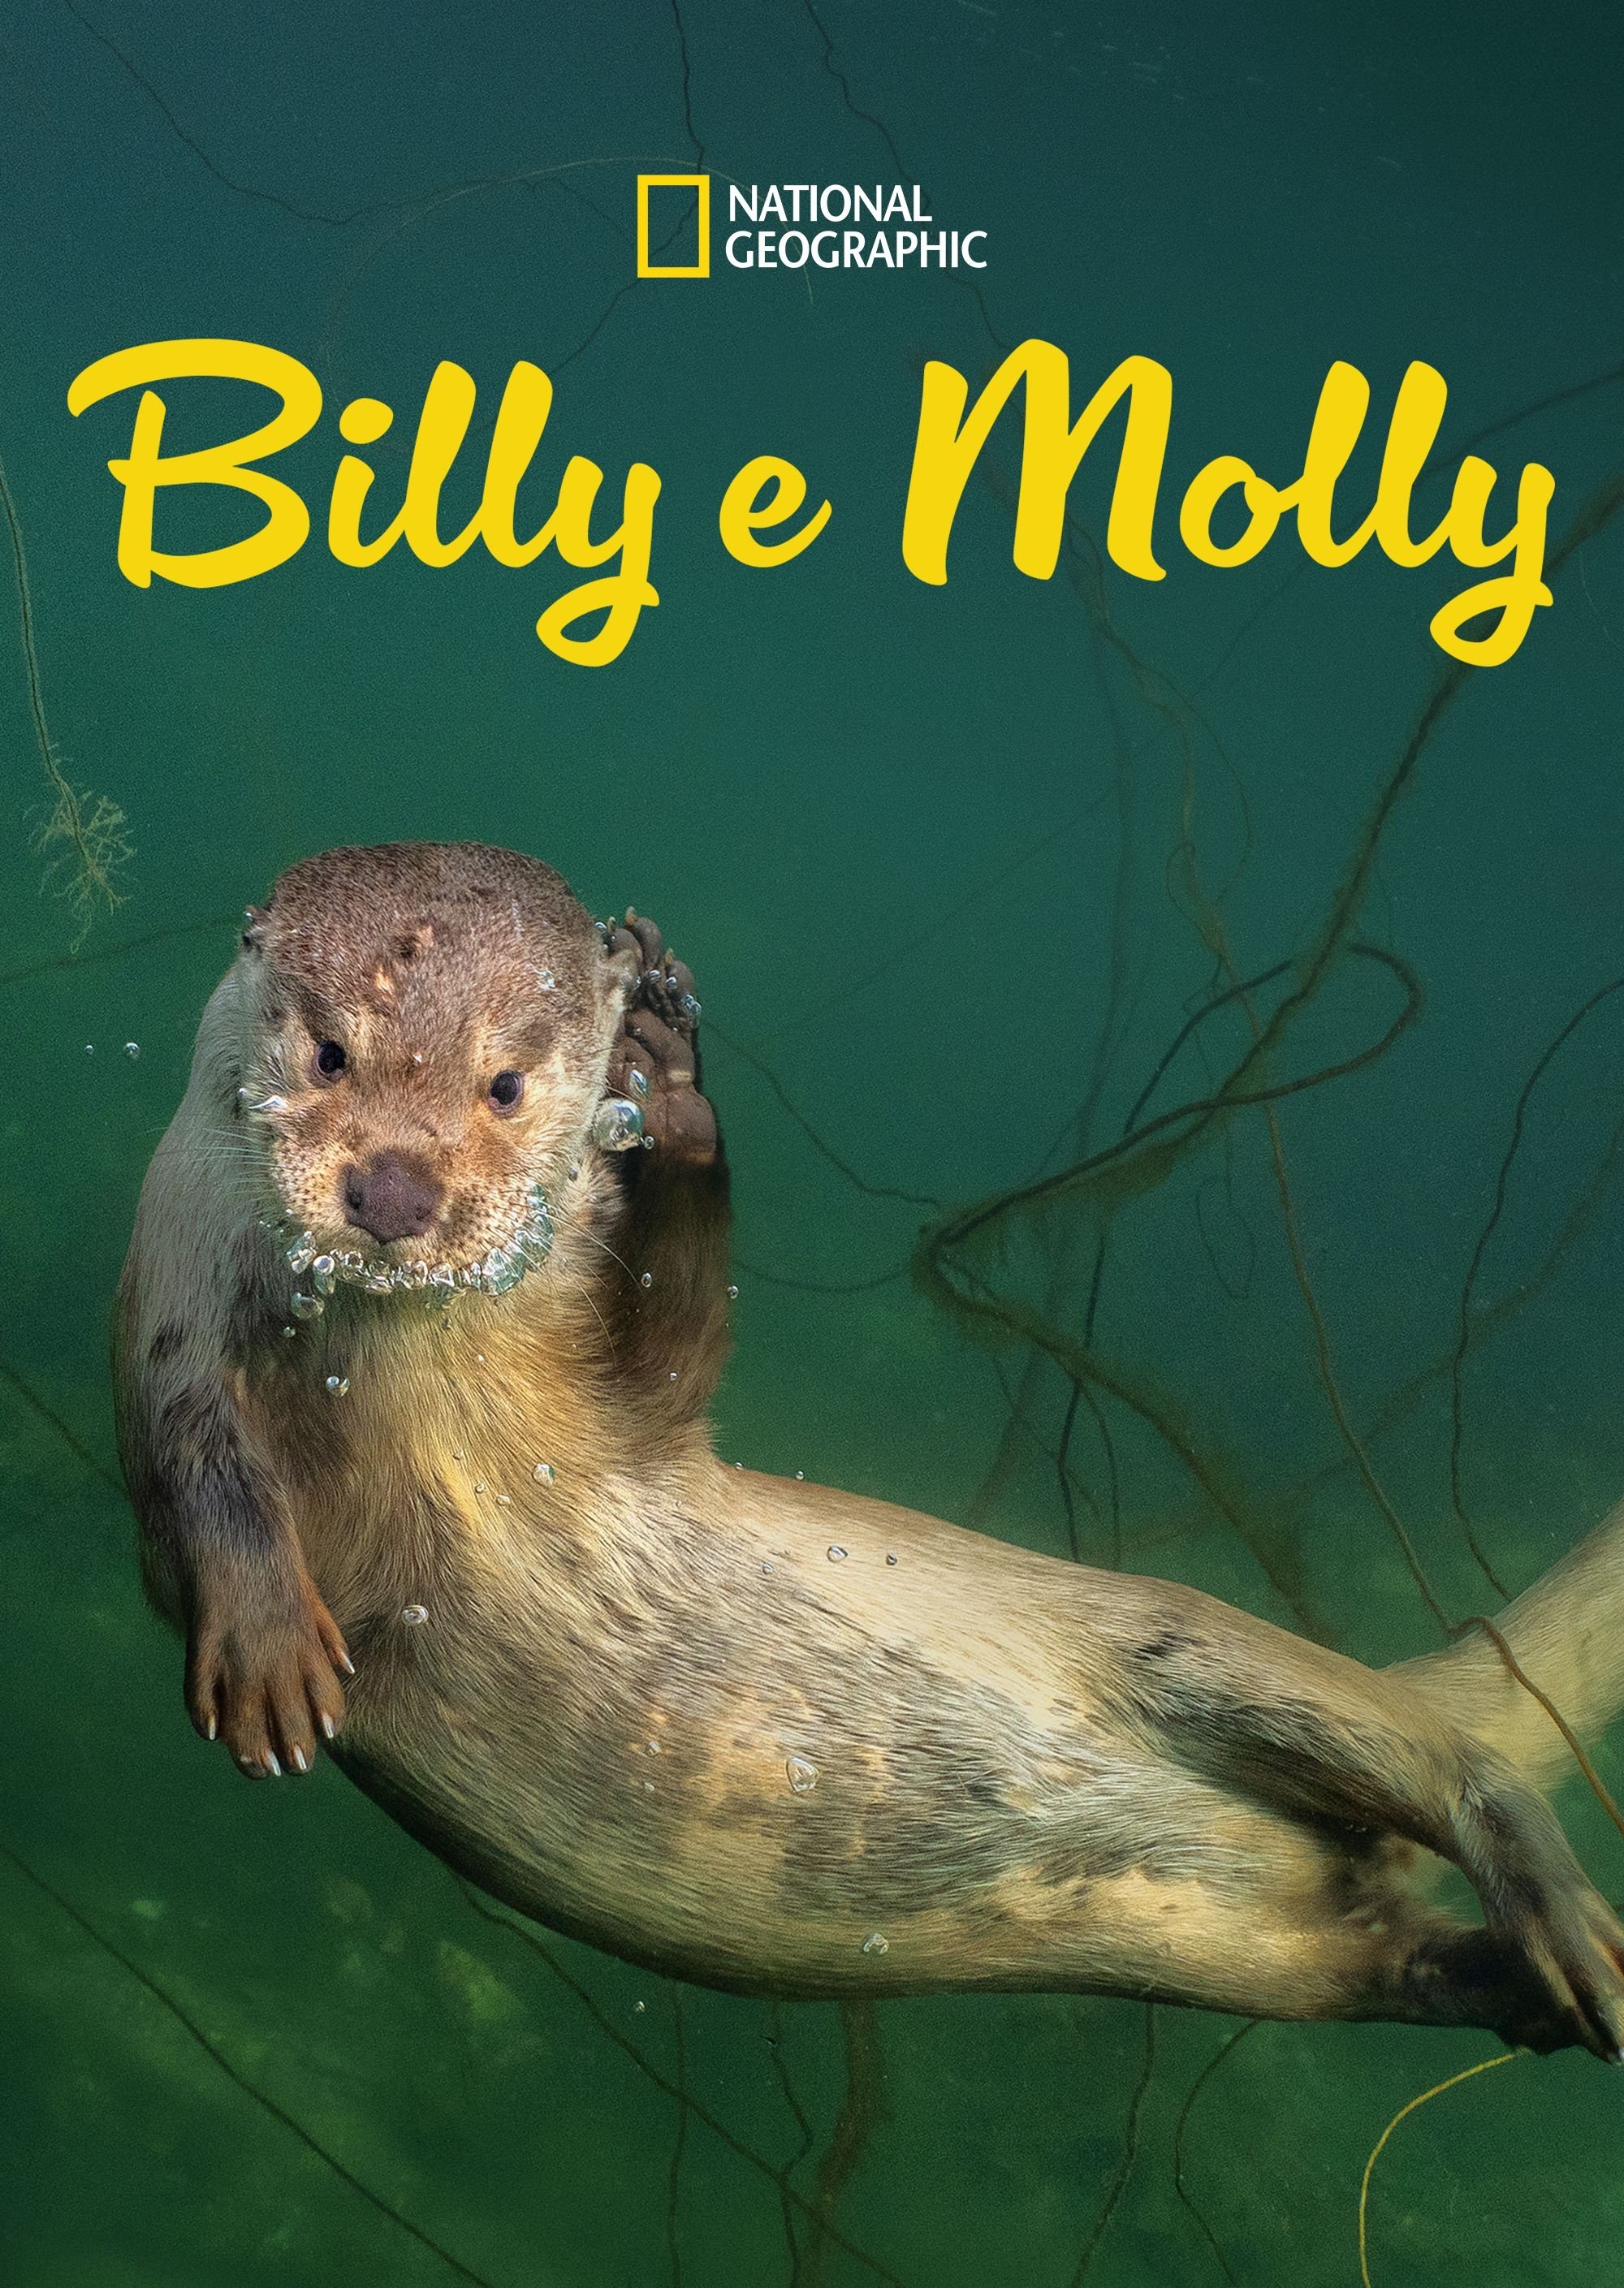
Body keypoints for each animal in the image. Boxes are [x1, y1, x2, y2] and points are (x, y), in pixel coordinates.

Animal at [114, 840, 1624, 2060]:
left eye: (506, 1082)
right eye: (329, 1053)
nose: (394, 1185)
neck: (421, 1400)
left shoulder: (625, 1425)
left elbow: (677, 1356)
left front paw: (673, 1090)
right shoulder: (170, 1311)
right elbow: (197, 1468)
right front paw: (267, 1648)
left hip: (1187, 1649)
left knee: (1446, 1760)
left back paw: (1568, 1925)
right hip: (1255, 1954)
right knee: (1375, 1944)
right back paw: (1522, 1990)